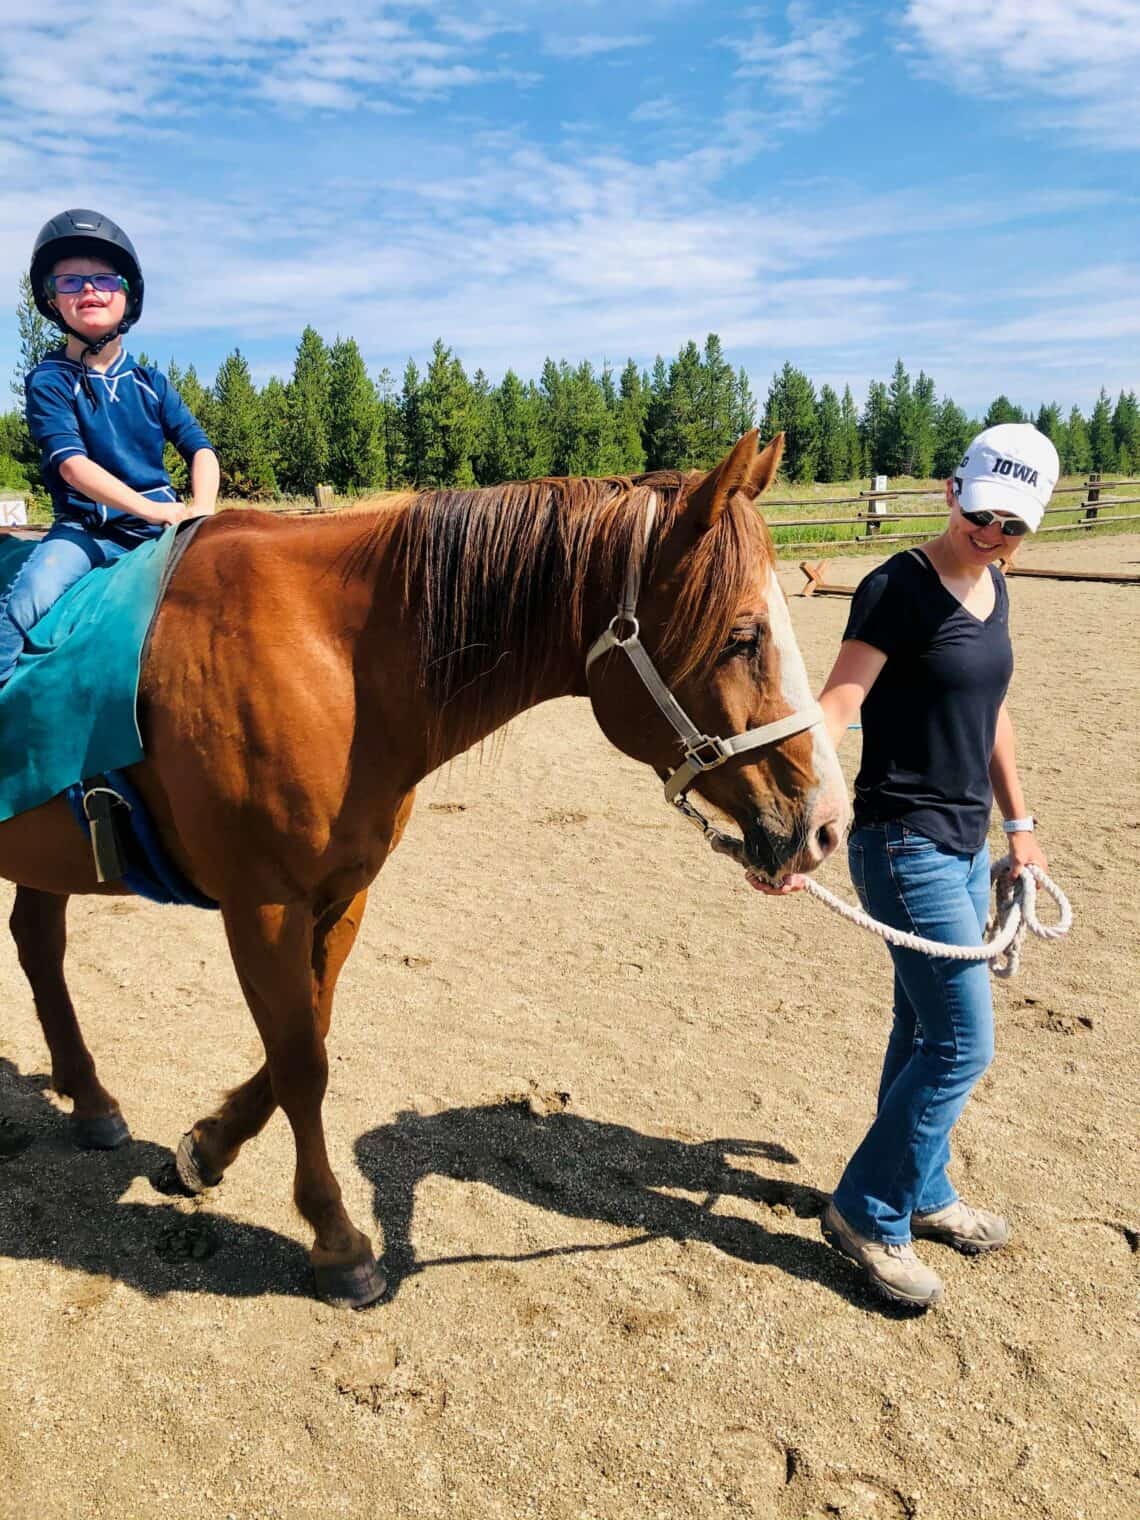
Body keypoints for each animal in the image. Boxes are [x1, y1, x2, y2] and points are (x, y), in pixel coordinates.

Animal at [0, 431, 845, 1307]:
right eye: (743, 635)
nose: (826, 824)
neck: (329, 656)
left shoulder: (340, 897)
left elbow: (306, 1037)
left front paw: (205, 1149)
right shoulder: (262, 905)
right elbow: (301, 1063)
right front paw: (336, 1242)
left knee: (39, 946)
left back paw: (90, 1101)